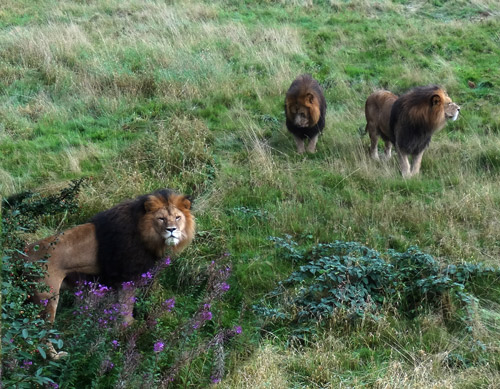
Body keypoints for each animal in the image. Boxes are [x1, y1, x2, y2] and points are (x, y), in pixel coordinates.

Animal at [25, 188, 194, 358]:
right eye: (161, 218)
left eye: (178, 217)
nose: (172, 230)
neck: (147, 235)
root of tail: (23, 255)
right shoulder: (127, 278)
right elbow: (126, 307)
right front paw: (128, 329)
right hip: (47, 298)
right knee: (39, 334)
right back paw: (55, 356)